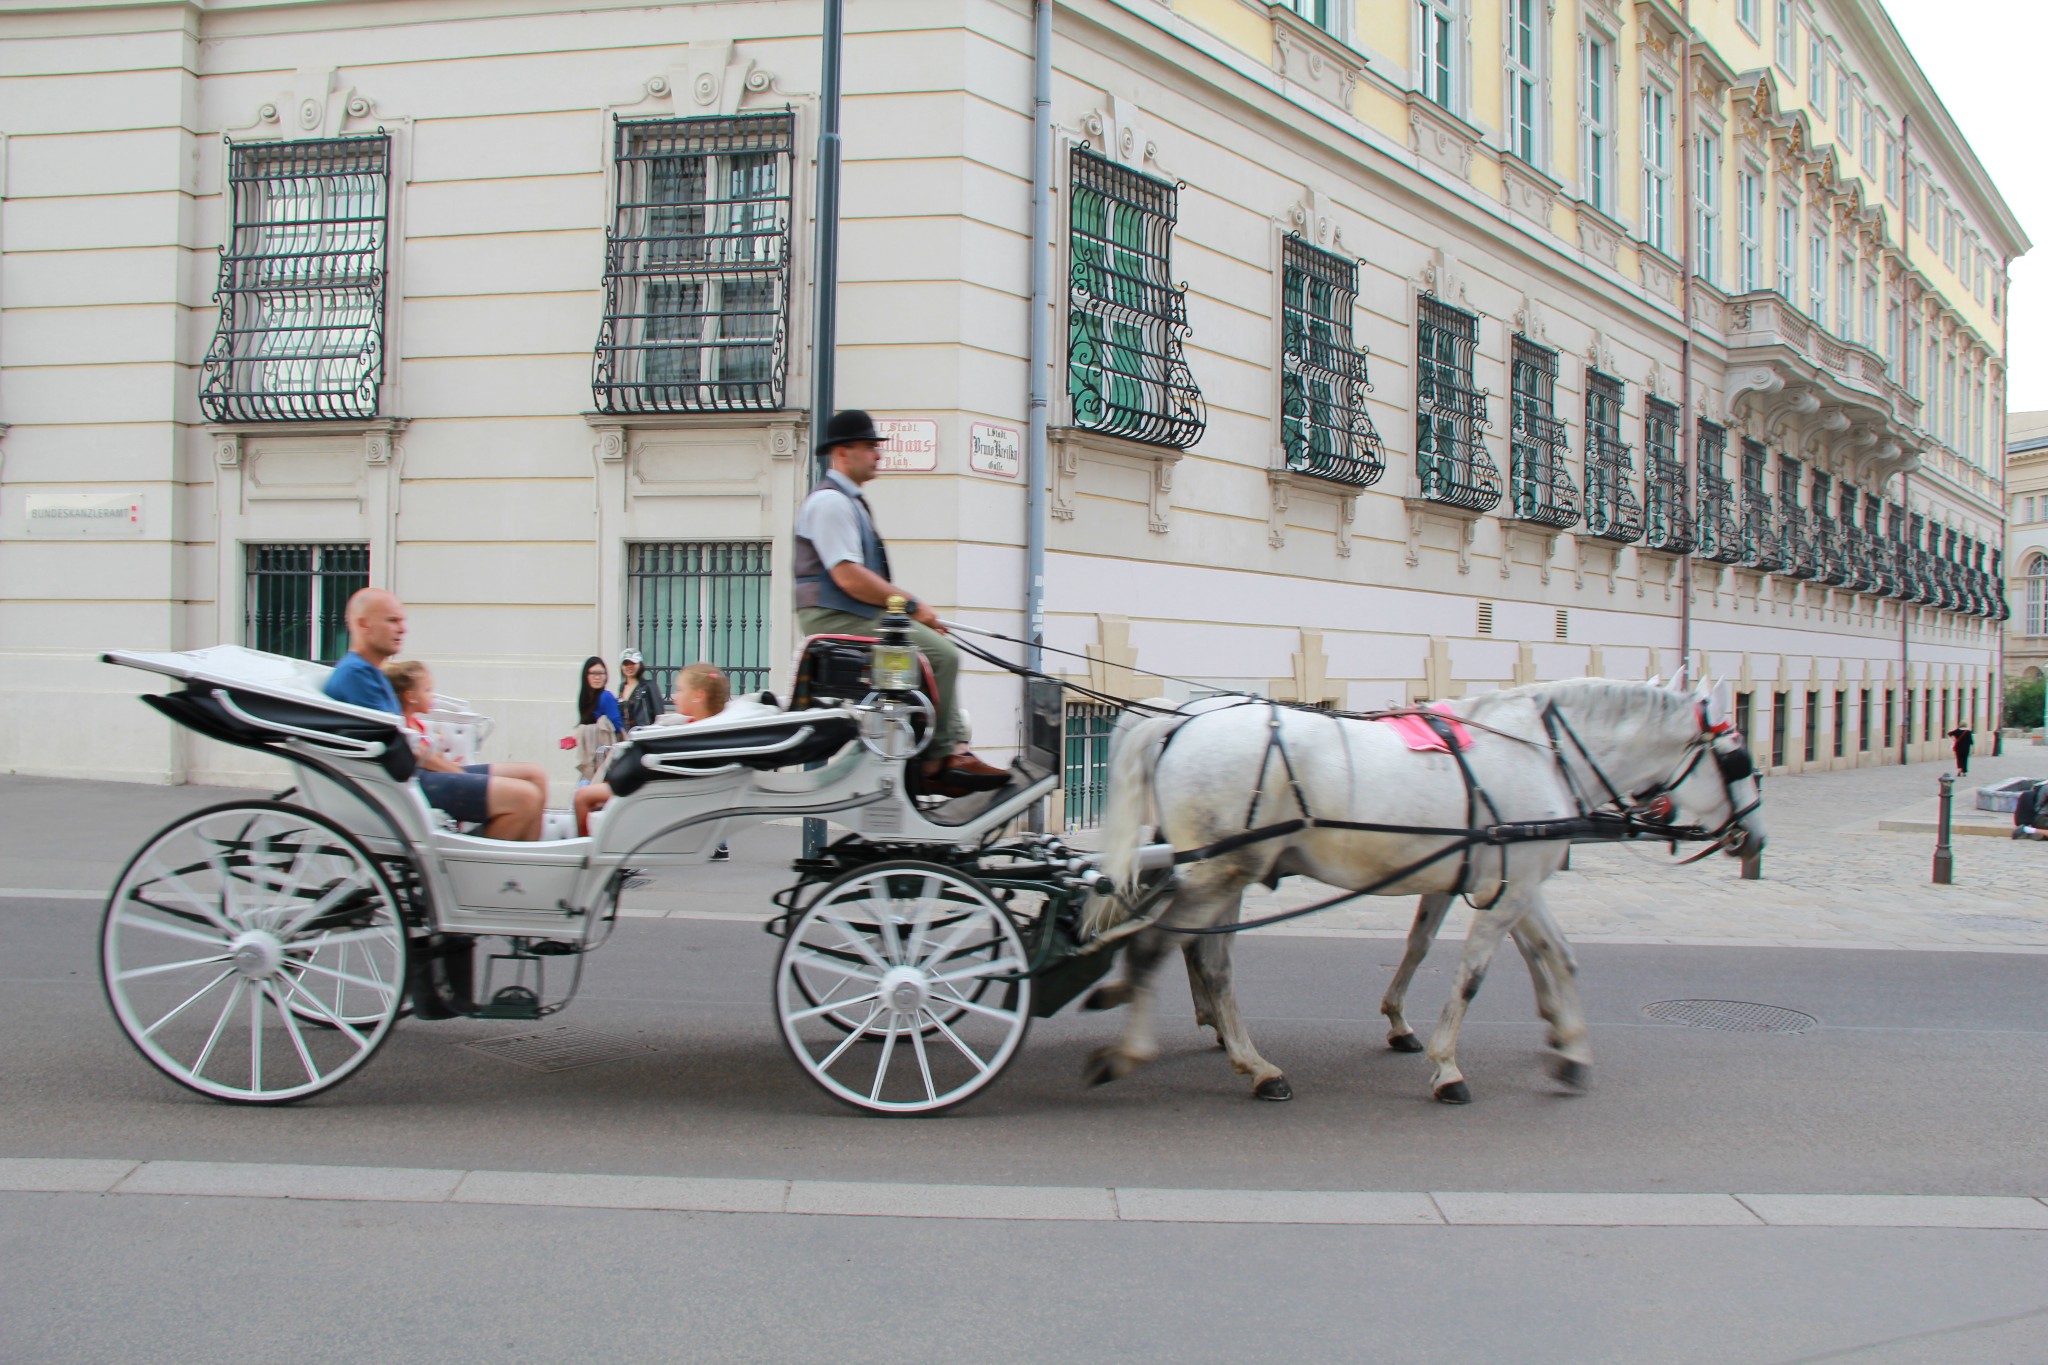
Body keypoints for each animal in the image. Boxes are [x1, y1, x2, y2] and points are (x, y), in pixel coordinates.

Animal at [1089, 679, 1761, 1105]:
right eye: (1739, 761)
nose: (1753, 838)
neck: (1541, 751)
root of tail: (1182, 720)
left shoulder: (1516, 878)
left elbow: (1554, 956)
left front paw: (1569, 1050)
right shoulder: (1507, 891)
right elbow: (1471, 976)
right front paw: (1447, 1067)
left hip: (1223, 871)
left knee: (1203, 956)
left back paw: (1243, 1058)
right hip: (1223, 870)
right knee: (1165, 949)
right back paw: (1141, 1051)